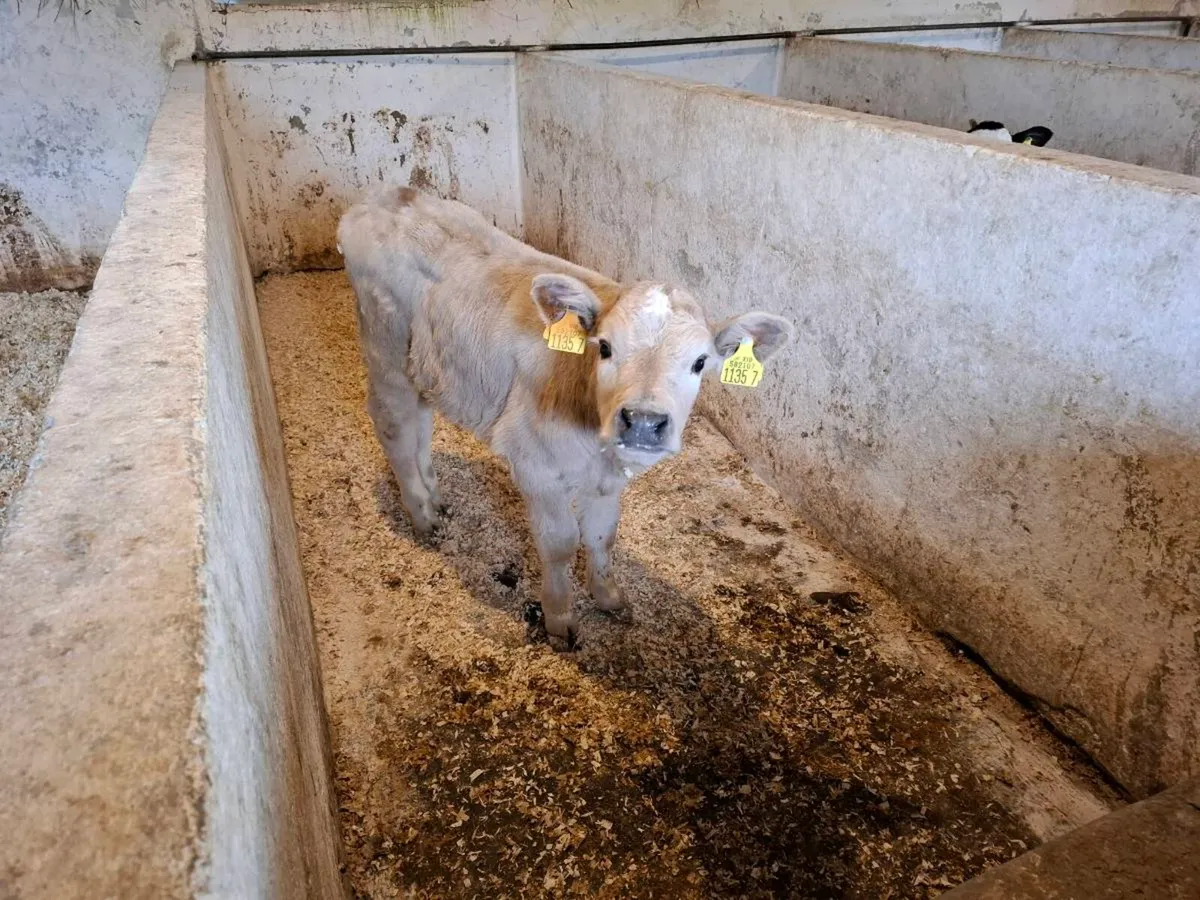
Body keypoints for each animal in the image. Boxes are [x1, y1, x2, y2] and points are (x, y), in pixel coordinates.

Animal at [337, 187, 794, 650]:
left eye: (700, 362)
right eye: (604, 347)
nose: (643, 421)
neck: (595, 438)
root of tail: (390, 196)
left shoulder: (610, 475)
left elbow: (603, 534)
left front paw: (608, 595)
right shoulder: (535, 463)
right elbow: (559, 543)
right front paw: (560, 618)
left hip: (427, 363)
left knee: (422, 424)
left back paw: (434, 496)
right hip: (386, 347)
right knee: (394, 425)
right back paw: (422, 515)